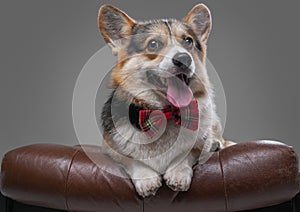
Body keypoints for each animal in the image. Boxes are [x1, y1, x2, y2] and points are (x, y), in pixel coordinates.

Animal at [98, 3, 232, 198]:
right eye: (153, 44)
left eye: (188, 41)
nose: (184, 59)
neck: (165, 113)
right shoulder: (109, 148)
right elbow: (130, 159)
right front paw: (147, 179)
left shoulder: (196, 144)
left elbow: (188, 153)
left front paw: (178, 173)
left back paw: (215, 143)